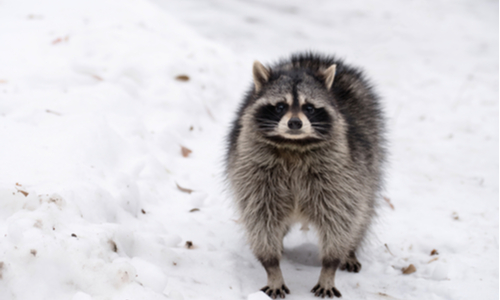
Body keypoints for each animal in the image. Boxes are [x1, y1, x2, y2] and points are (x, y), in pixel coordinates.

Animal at [227, 52, 386, 298]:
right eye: (280, 106)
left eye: (309, 107)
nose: (295, 123)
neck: (293, 145)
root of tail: (313, 57)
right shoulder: (253, 171)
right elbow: (260, 218)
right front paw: (272, 267)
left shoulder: (342, 174)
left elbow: (340, 218)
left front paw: (329, 267)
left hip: (370, 160)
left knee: (363, 212)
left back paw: (350, 249)